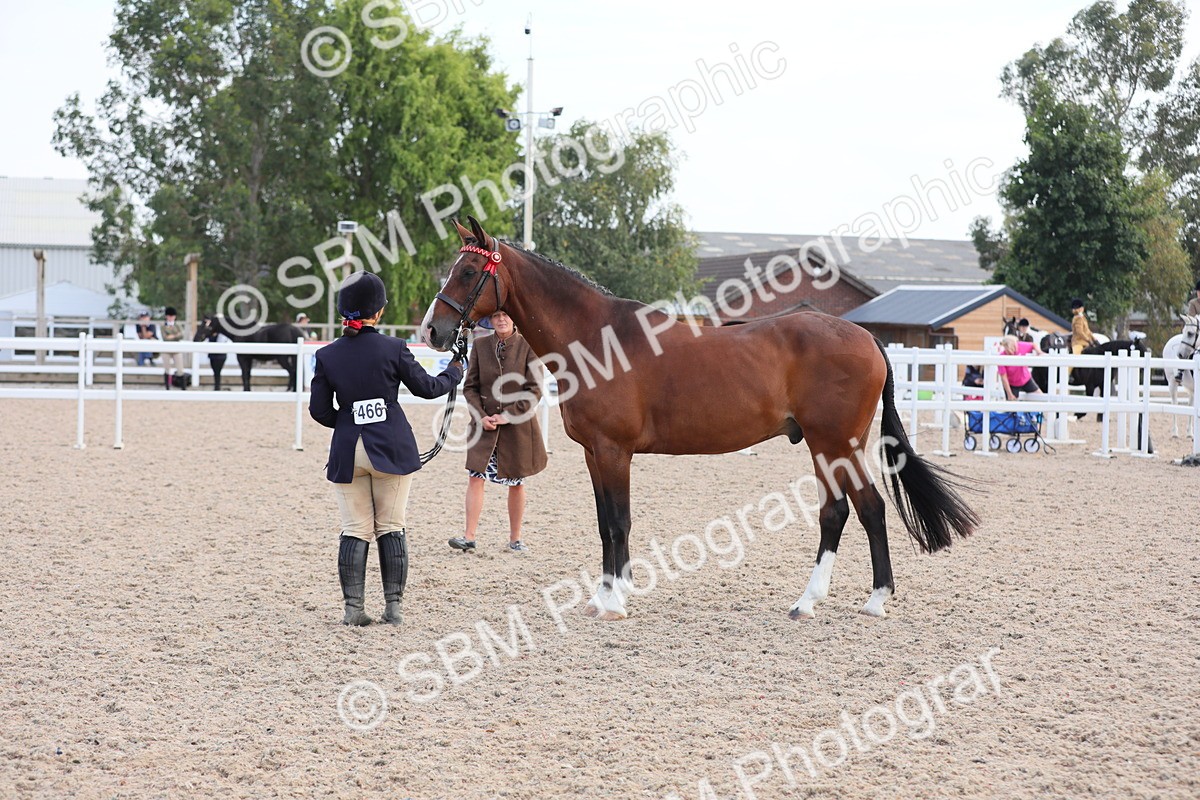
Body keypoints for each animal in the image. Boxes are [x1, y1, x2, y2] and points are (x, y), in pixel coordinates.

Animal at [421, 217, 979, 620]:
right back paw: (829, 601)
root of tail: (866, 337)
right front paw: (603, 595)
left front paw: (616, 601)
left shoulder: (614, 451)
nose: (431, 330)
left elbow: (619, 521)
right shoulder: (594, 454)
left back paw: (856, 600)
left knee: (857, 509)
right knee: (849, 510)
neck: (597, 337)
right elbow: (604, 525)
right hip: (833, 446)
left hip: (832, 443)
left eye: (467, 272)